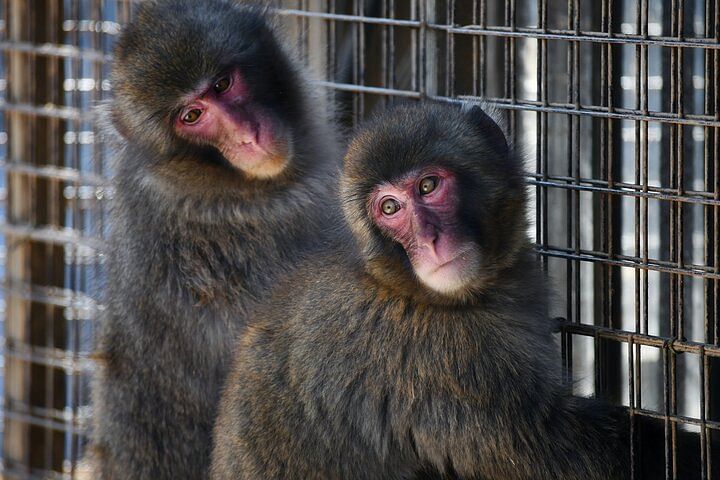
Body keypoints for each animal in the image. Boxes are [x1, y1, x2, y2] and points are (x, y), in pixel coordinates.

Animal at [207, 102, 632, 480]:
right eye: (390, 208)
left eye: (428, 186)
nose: (429, 240)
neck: (410, 292)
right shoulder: (446, 360)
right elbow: (571, 453)